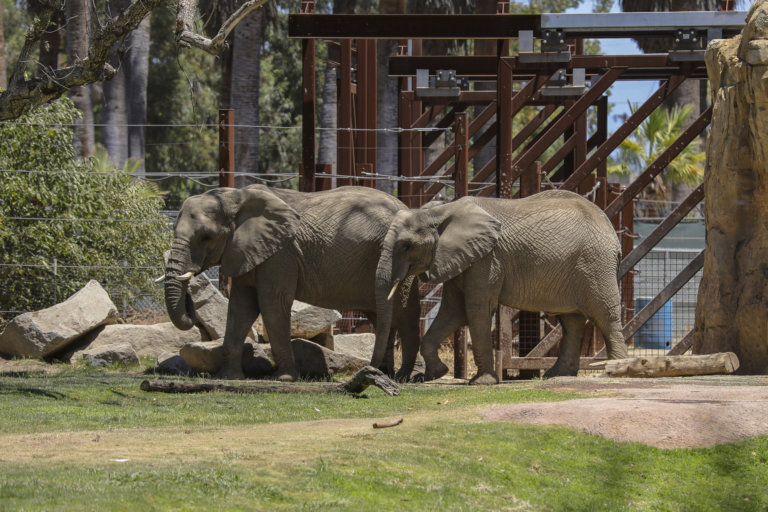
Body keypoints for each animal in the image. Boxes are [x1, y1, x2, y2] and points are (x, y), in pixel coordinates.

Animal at [161, 185, 420, 380]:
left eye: (206, 237)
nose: (190, 299)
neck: (234, 197)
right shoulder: (247, 250)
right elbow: (240, 306)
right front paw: (228, 377)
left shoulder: (280, 253)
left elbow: (272, 303)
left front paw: (283, 378)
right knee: (382, 317)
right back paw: (382, 373)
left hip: (401, 259)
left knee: (404, 314)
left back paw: (401, 377)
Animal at [380, 189, 632, 384]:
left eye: (406, 246)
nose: (406, 378)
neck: (441, 211)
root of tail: (611, 229)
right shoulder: (460, 257)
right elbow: (454, 311)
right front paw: (434, 375)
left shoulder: (487, 259)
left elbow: (476, 309)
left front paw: (480, 383)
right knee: (571, 321)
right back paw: (557, 375)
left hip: (596, 265)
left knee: (604, 316)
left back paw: (614, 374)